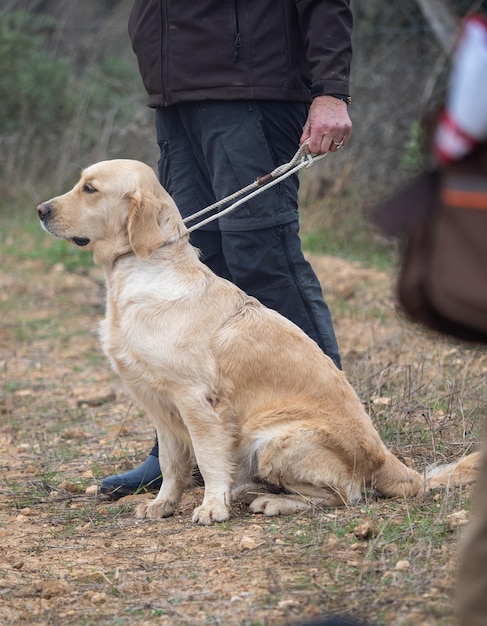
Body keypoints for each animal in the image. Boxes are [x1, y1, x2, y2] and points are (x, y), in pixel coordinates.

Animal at [37, 160, 480, 520]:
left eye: (90, 189)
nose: (41, 210)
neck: (139, 272)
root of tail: (391, 461)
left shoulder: (198, 400)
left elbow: (208, 460)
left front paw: (212, 507)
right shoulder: (159, 404)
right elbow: (171, 463)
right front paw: (163, 504)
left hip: (273, 439)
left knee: (345, 495)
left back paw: (270, 500)